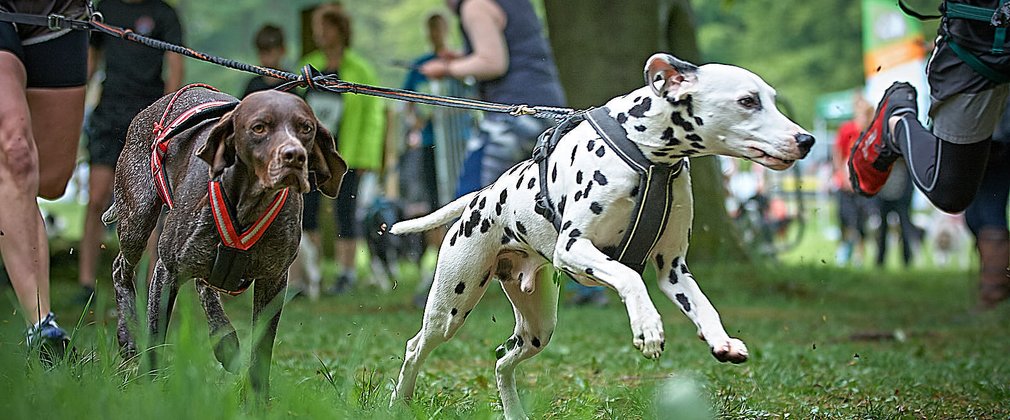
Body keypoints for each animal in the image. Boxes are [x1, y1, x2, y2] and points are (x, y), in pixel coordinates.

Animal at [104, 87, 345, 393]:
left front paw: (257, 399)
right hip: (137, 219)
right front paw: (150, 389)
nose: (294, 157)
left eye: (306, 128)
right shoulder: (167, 272)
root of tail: (148, 110)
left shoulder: (274, 281)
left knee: (204, 284)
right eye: (259, 127)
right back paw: (128, 335)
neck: (248, 204)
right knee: (120, 269)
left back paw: (224, 339)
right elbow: (156, 340)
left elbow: (260, 355)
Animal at [385, 53, 812, 420]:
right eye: (747, 101)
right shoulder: (574, 248)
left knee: (501, 359)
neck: (648, 154)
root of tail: (481, 195)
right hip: (449, 309)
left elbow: (703, 305)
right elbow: (631, 277)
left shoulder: (673, 269)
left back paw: (514, 411)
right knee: (414, 347)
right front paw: (648, 326)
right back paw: (398, 402)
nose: (806, 140)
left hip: (539, 329)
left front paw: (721, 339)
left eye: (771, 99)